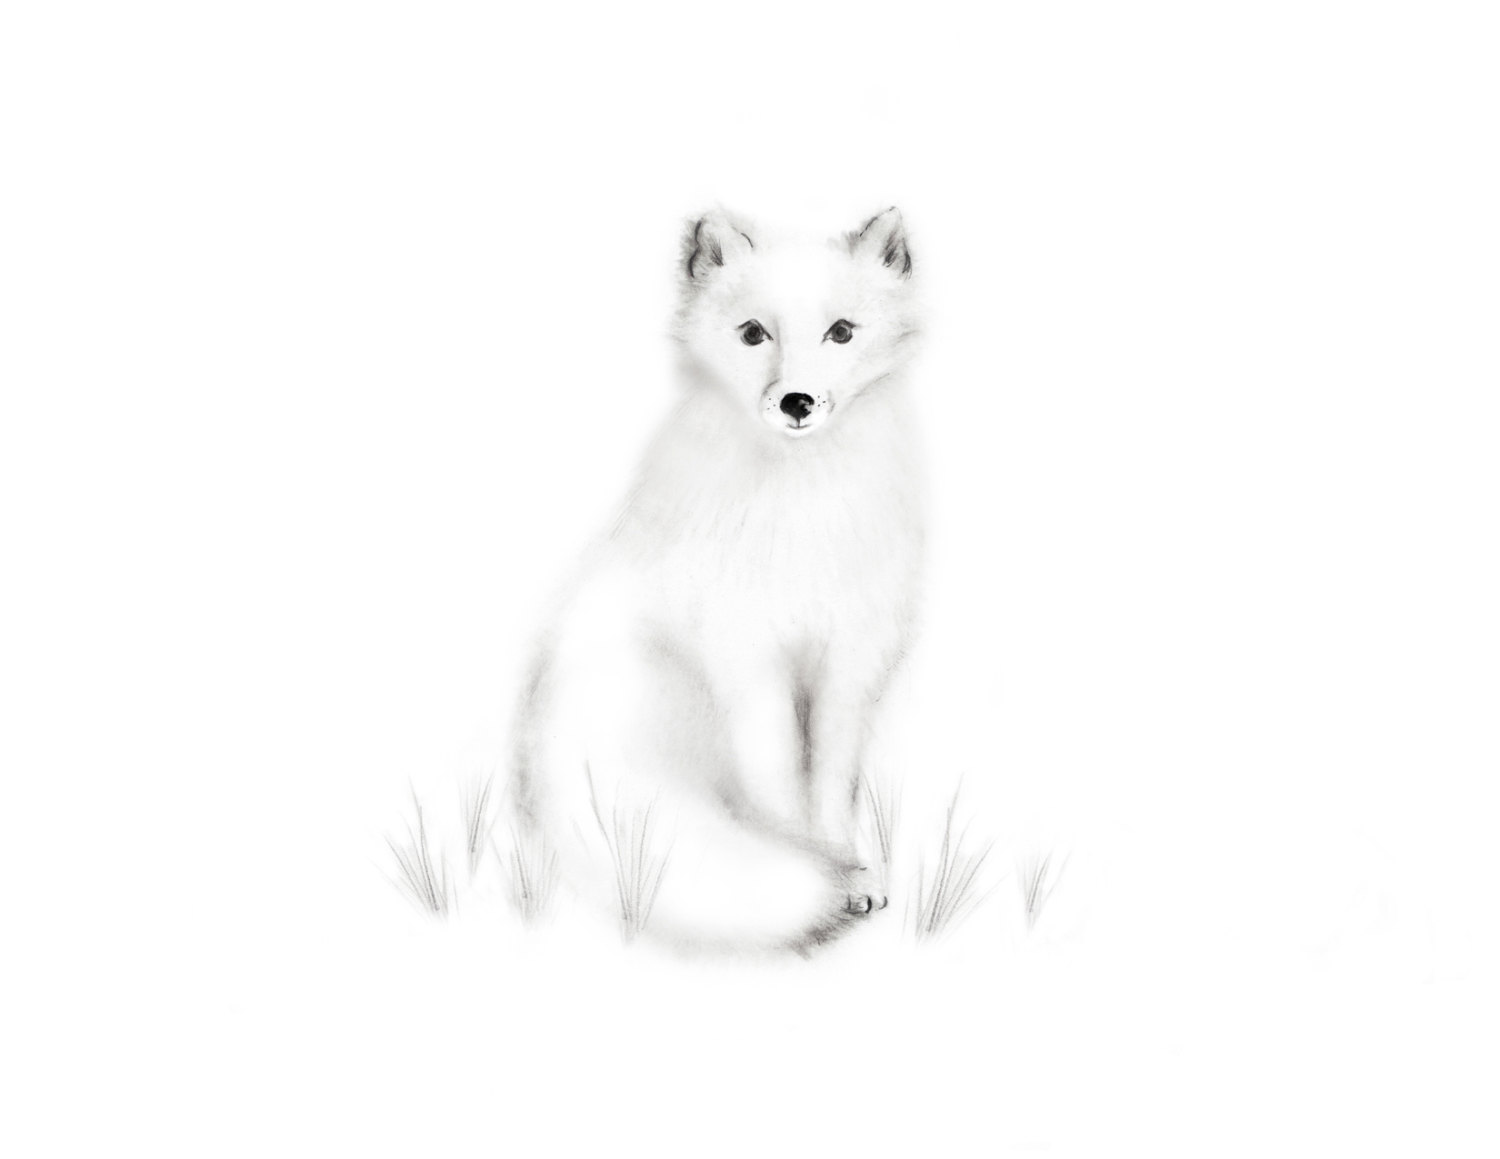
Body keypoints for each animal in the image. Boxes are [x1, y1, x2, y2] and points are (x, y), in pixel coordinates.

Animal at [509, 207, 924, 952]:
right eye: (753, 333)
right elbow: (781, 783)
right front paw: (826, 874)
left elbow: (830, 782)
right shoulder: (750, 658)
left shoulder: (850, 658)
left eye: (841, 331)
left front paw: (855, 875)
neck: (802, 514)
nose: (796, 401)